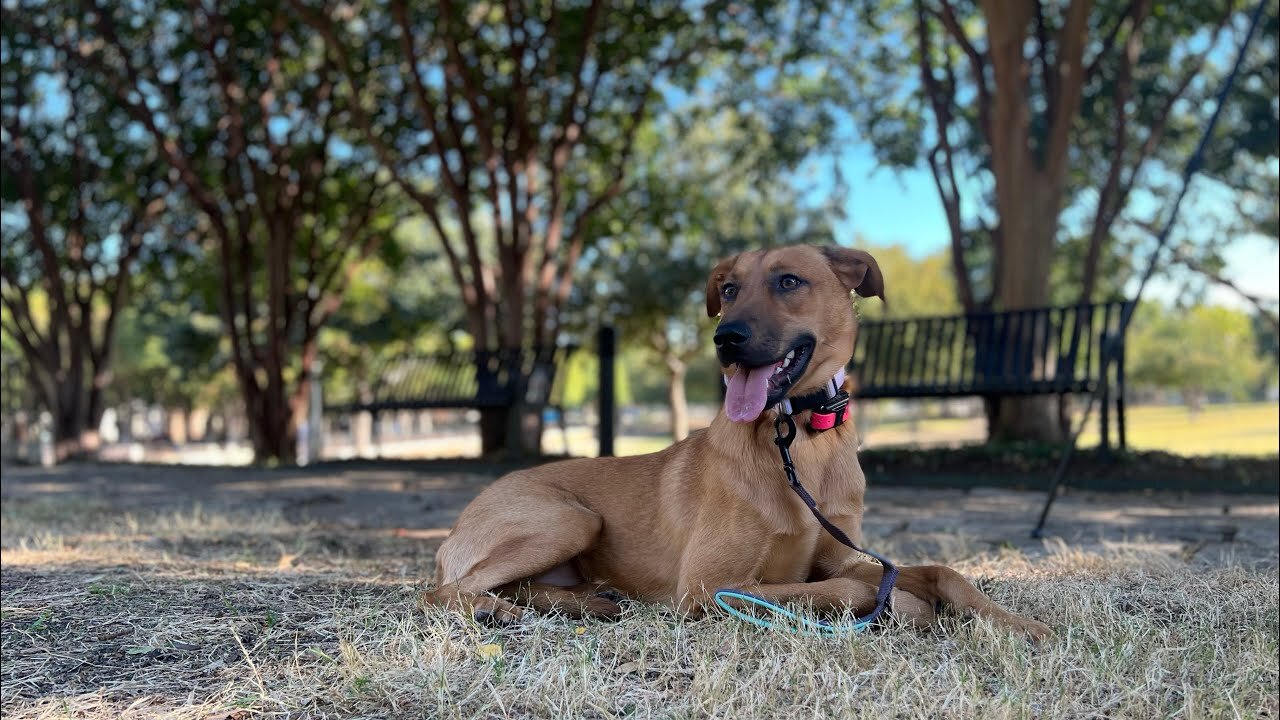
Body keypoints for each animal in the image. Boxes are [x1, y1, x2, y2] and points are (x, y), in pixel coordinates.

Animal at [427, 243, 1049, 635]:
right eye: (727, 289)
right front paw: (906, 606)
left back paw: (588, 602)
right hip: (570, 518)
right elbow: (840, 593)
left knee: (514, 587)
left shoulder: (845, 557)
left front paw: (1018, 623)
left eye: (789, 280)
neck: (800, 442)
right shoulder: (710, 587)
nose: (725, 339)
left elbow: (944, 571)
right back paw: (496, 611)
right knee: (440, 594)